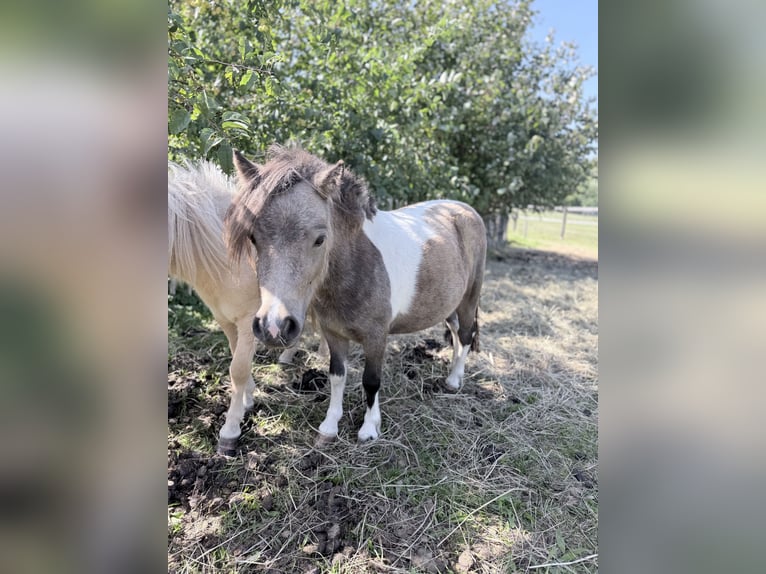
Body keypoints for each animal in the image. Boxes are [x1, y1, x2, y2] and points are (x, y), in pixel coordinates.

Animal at [168, 160, 308, 454]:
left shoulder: (247, 321)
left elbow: (238, 369)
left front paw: (230, 431)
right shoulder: (226, 321)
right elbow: (237, 362)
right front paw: (247, 401)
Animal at [224, 145, 486, 445]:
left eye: (320, 239)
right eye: (253, 237)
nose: (273, 327)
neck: (357, 264)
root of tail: (464, 209)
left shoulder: (376, 337)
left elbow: (371, 380)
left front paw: (369, 429)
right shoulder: (333, 334)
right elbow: (337, 376)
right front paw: (329, 427)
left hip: (469, 298)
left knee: (465, 335)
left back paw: (454, 381)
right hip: (448, 304)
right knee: (454, 332)